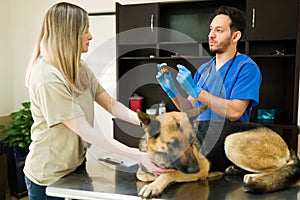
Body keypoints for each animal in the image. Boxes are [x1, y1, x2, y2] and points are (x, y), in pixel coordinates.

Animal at [136, 107, 300, 198]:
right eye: (173, 143)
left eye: (191, 140)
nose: (195, 169)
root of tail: (285, 143)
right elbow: (143, 174)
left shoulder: (203, 166)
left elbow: (170, 173)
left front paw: (154, 186)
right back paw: (234, 169)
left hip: (231, 141)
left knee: (280, 168)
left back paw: (252, 176)